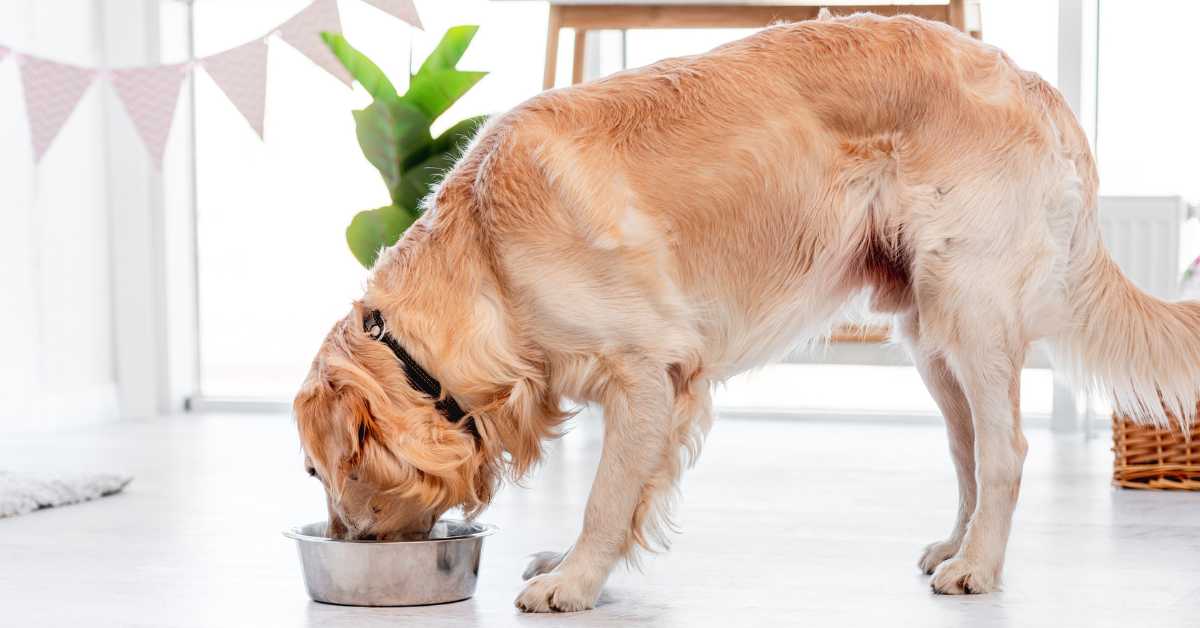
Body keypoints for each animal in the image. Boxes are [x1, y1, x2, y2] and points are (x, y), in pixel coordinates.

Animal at [292, 11, 1200, 614]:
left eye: (317, 472)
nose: (342, 544)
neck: (486, 259)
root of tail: (1028, 78)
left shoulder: (646, 371)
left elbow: (605, 495)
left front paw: (572, 580)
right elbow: (625, 494)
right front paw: (573, 562)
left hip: (967, 307)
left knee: (1007, 449)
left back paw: (977, 569)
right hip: (928, 331)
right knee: (970, 448)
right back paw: (958, 545)